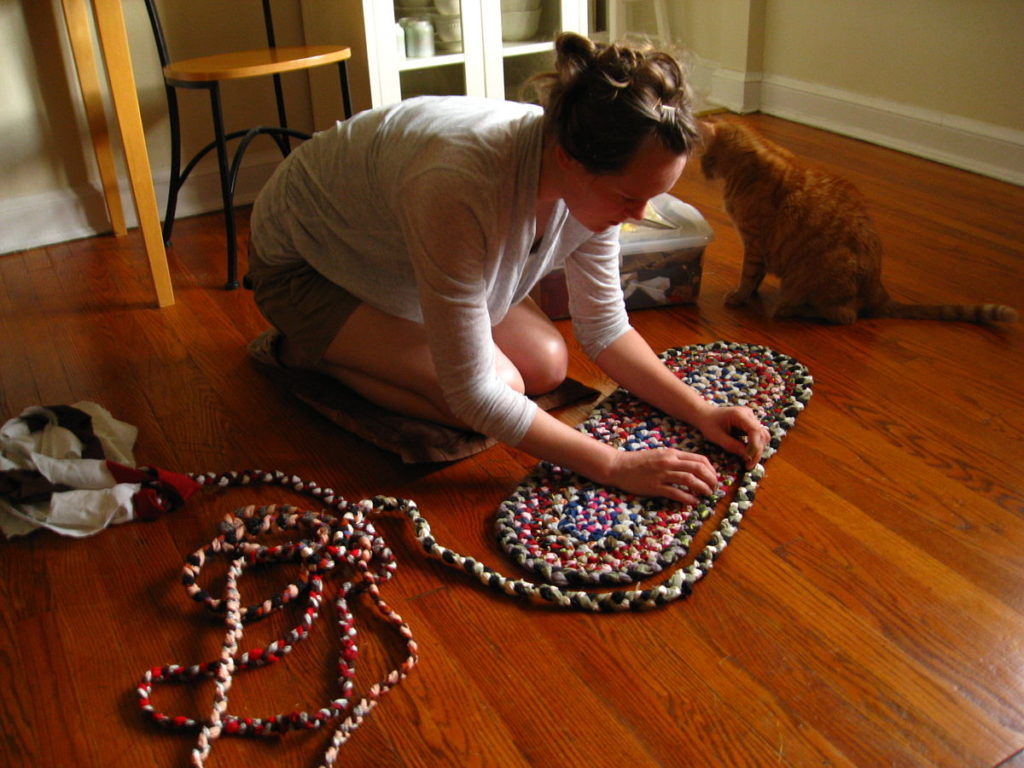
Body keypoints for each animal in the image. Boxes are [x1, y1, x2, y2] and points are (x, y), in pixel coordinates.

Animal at [696, 118, 1015, 325]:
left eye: (702, 158)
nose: (700, 171)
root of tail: (878, 286)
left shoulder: (754, 242)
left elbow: (748, 275)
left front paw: (739, 297)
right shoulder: (758, 247)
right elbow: (757, 277)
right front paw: (750, 295)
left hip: (817, 275)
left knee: (845, 315)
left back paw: (789, 309)